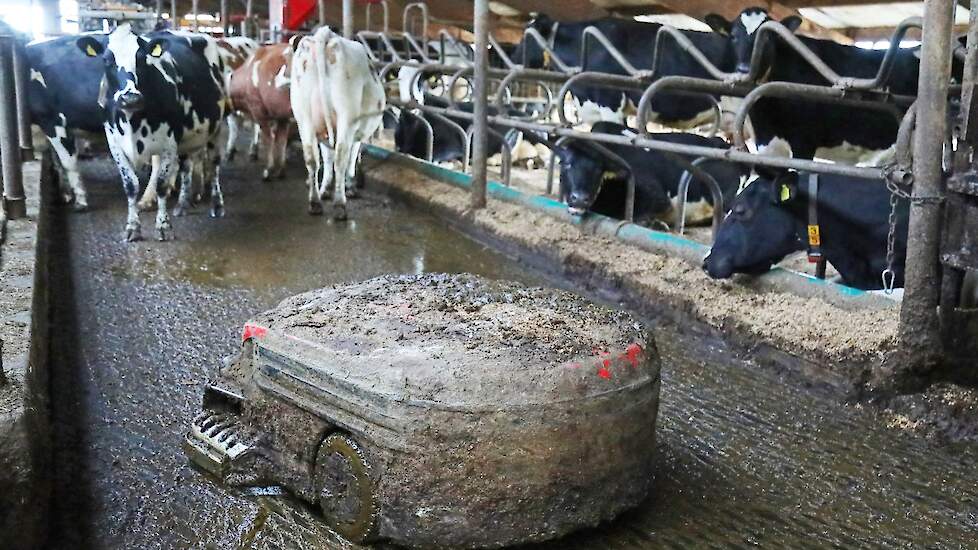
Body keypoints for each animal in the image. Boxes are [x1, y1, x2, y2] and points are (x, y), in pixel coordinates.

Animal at [75, 24, 228, 241]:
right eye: (106, 59)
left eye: (141, 58)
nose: (130, 98)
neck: (132, 121)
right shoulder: (115, 144)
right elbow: (130, 186)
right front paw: (132, 227)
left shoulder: (168, 144)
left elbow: (162, 185)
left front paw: (163, 226)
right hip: (186, 139)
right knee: (186, 167)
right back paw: (182, 205)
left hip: (217, 126)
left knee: (214, 166)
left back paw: (216, 205)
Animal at [227, 43, 294, 181]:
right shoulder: (282, 116)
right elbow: (281, 140)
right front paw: (281, 169)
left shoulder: (259, 111)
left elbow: (268, 139)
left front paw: (268, 169)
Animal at [291, 27, 386, 220]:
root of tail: (325, 36)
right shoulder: (355, 133)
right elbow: (351, 157)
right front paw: (350, 187)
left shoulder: (323, 132)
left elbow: (326, 158)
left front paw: (325, 189)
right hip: (346, 117)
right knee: (340, 158)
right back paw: (340, 205)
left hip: (303, 117)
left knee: (312, 159)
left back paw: (315, 202)